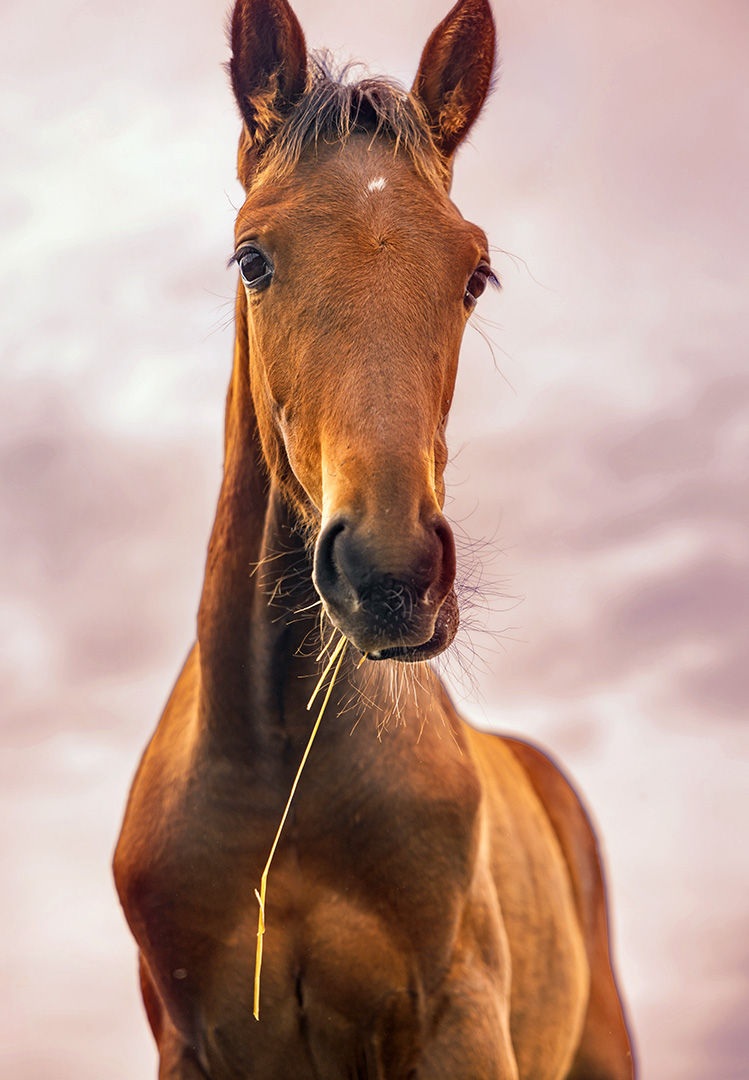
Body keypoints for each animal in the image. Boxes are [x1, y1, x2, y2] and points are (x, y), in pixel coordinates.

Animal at [113, 1, 635, 1077]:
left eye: (473, 272)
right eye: (252, 259)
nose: (390, 575)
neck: (276, 774)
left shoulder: (458, 1025)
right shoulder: (189, 1047)